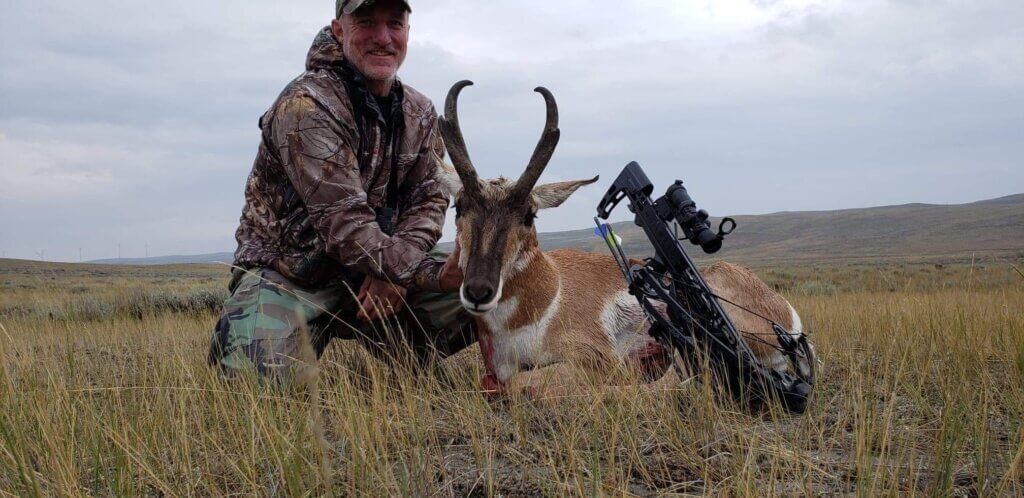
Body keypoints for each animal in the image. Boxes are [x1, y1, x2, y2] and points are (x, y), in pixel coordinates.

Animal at [436, 80, 802, 397]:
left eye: (530, 215)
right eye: (459, 206)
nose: (478, 291)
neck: (548, 292)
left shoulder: (595, 359)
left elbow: (520, 385)